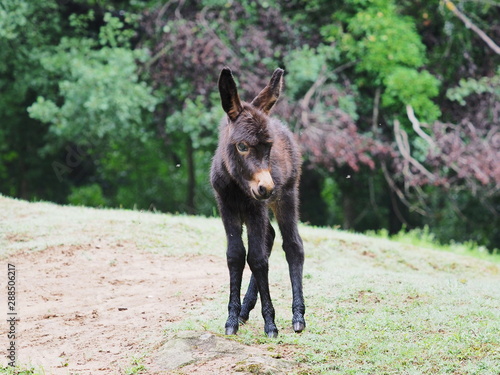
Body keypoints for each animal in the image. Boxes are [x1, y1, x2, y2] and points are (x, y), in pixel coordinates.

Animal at [210, 67, 306, 338]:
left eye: (269, 147)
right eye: (242, 146)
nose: (266, 188)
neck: (238, 187)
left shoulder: (256, 209)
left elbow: (258, 259)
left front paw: (270, 324)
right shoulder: (226, 207)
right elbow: (236, 255)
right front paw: (232, 319)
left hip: (286, 196)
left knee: (293, 245)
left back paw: (298, 317)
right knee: (270, 236)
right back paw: (244, 311)